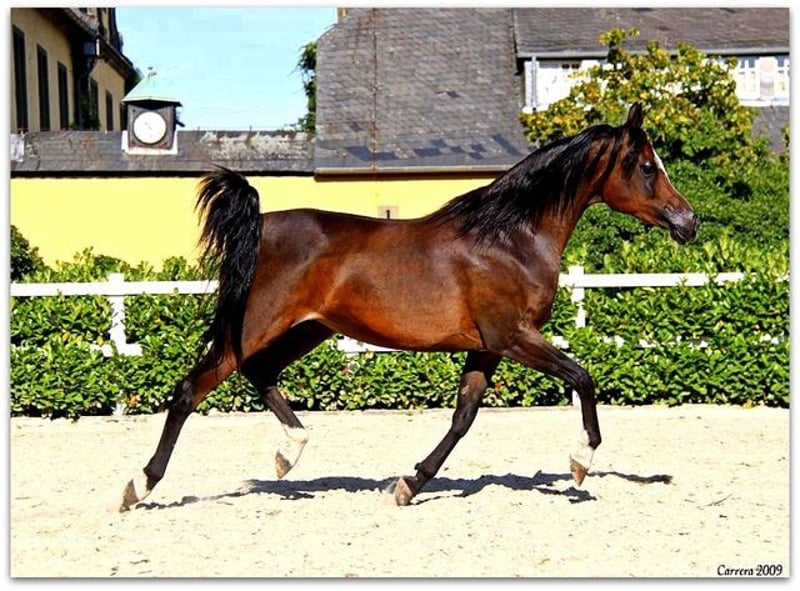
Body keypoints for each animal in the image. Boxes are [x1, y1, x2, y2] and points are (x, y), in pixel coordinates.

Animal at [119, 103, 699, 511]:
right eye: (647, 166)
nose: (689, 223)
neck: (508, 238)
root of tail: (259, 224)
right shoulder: (515, 336)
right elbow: (583, 378)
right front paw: (580, 463)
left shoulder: (488, 347)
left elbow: (463, 417)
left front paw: (408, 484)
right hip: (258, 325)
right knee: (191, 388)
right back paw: (138, 487)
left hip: (307, 329)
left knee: (259, 372)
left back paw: (289, 454)